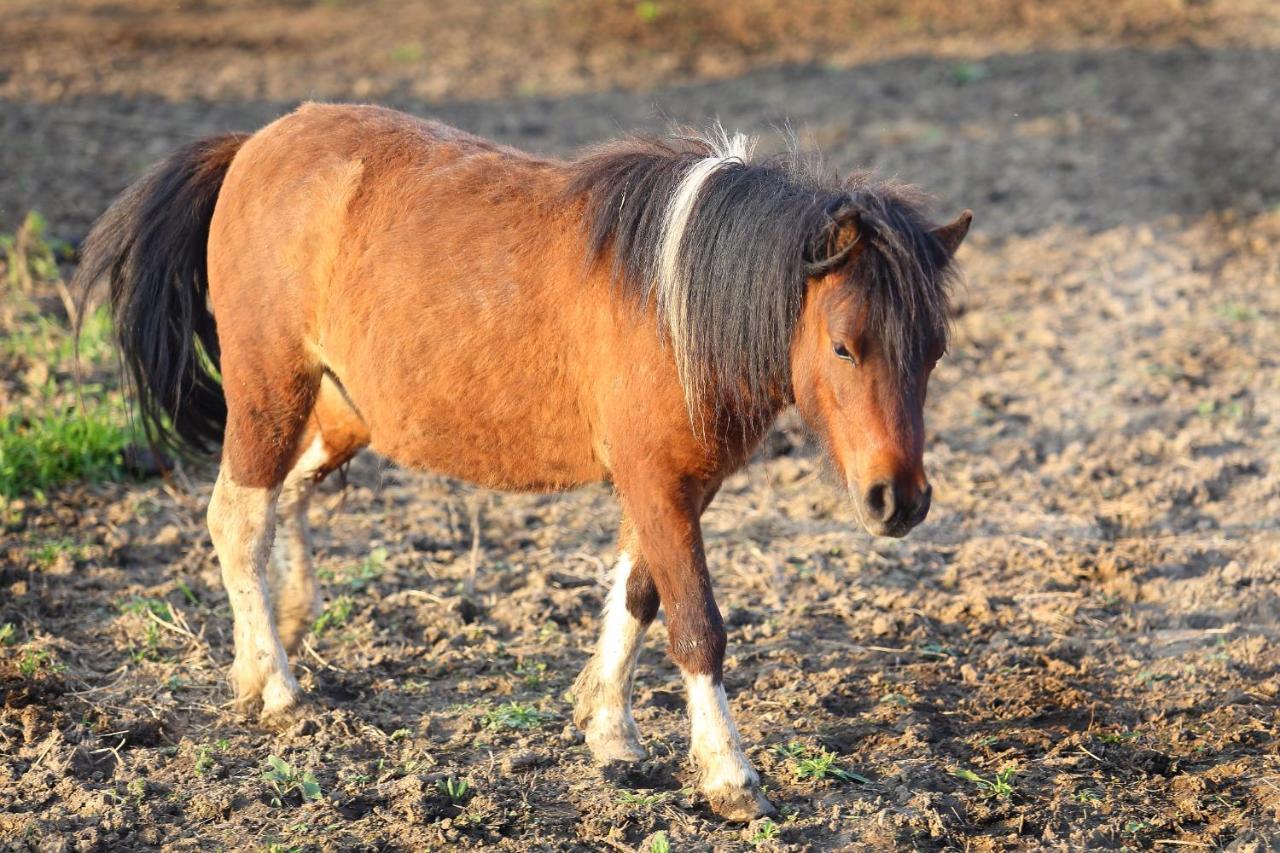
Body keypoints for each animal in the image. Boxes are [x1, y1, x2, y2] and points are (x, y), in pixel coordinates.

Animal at [72, 104, 967, 819]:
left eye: (934, 349)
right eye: (845, 345)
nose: (899, 499)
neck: (676, 301)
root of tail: (254, 144)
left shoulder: (676, 485)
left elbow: (638, 594)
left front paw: (609, 730)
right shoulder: (658, 482)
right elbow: (696, 625)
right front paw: (728, 774)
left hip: (341, 411)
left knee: (280, 505)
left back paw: (266, 652)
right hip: (270, 390)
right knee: (238, 516)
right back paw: (278, 687)